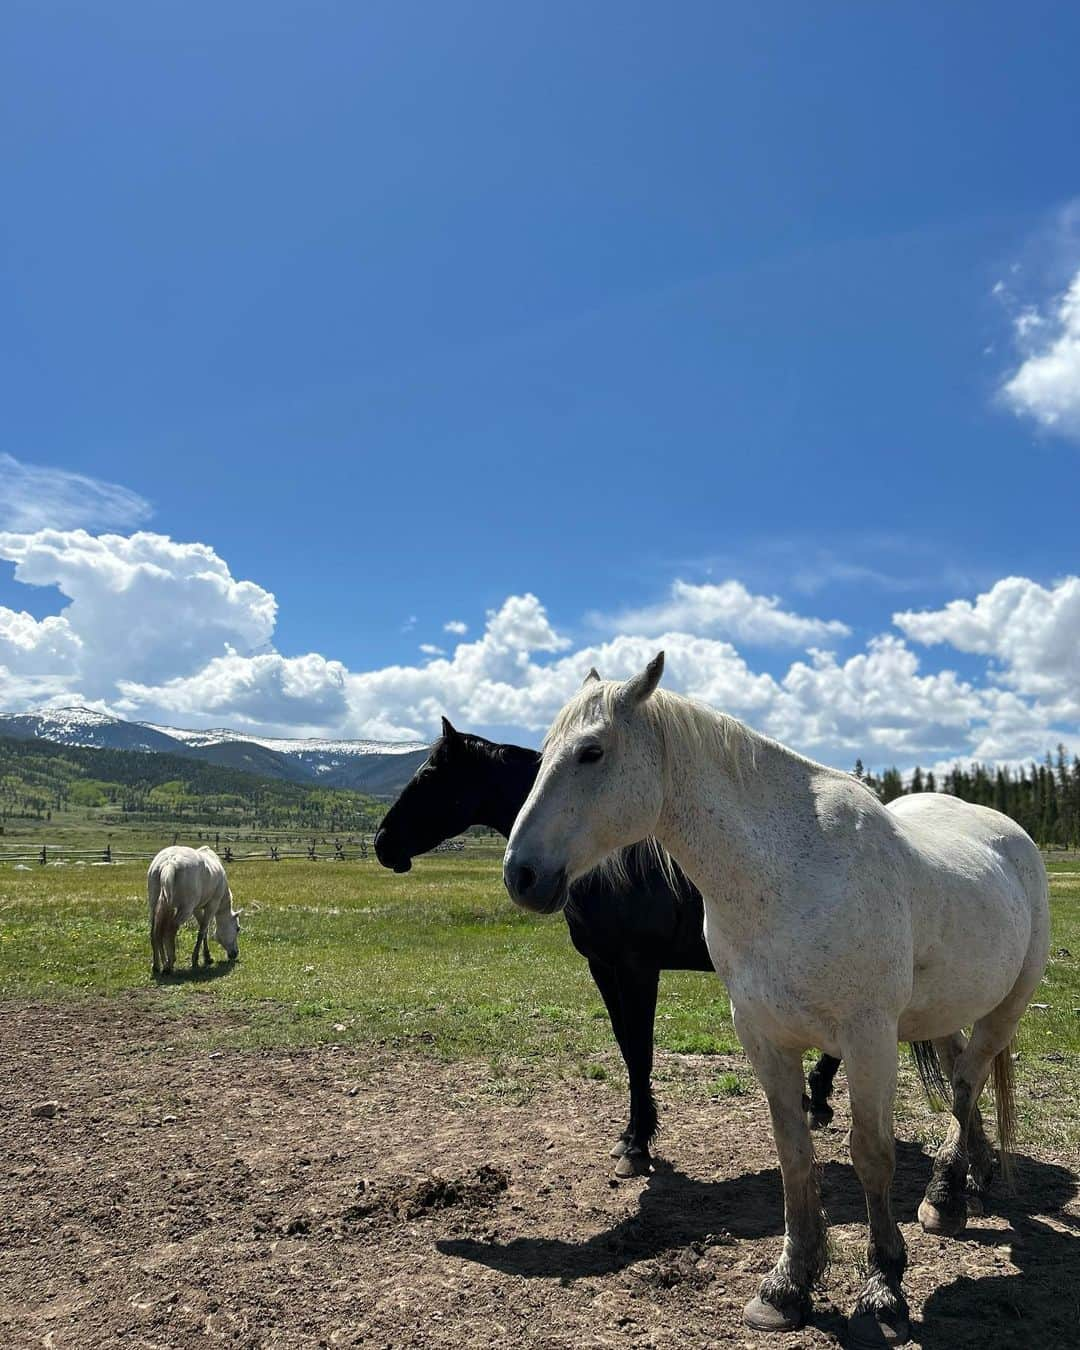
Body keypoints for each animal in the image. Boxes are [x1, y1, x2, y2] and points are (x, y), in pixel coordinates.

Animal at [146, 842, 238, 972]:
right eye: (237, 928)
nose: (235, 953)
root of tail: (170, 862)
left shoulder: (197, 909)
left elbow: (204, 930)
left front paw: (207, 956)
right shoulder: (212, 905)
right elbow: (202, 930)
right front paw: (197, 959)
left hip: (155, 906)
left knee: (154, 932)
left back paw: (157, 965)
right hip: (185, 910)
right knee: (170, 930)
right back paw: (170, 963)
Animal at [372, 723, 842, 1177]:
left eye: (430, 776)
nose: (382, 843)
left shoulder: (637, 969)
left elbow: (640, 1051)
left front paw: (637, 1147)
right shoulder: (602, 967)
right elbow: (627, 1049)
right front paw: (633, 1133)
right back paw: (816, 1098)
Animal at [507, 650, 1053, 1339]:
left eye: (591, 752)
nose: (521, 874)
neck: (790, 873)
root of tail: (1011, 834)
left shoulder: (868, 1039)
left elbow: (870, 1155)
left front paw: (883, 1289)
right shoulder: (764, 1036)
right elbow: (794, 1155)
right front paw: (789, 1285)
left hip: (1004, 1009)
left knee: (964, 1086)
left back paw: (947, 1196)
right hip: (942, 1014)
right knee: (964, 1085)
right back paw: (958, 1188)